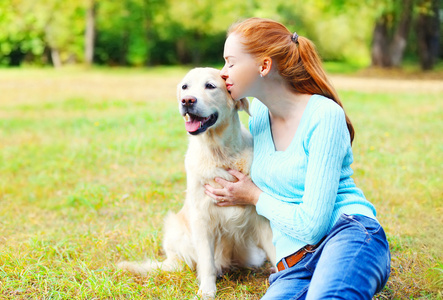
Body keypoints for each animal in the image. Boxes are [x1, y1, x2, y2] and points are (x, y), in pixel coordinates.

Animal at [119, 68, 276, 300]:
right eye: (185, 87)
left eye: (210, 86)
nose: (187, 100)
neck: (219, 154)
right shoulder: (202, 218)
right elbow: (207, 262)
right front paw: (207, 291)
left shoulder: (260, 218)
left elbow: (276, 252)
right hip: (175, 229)